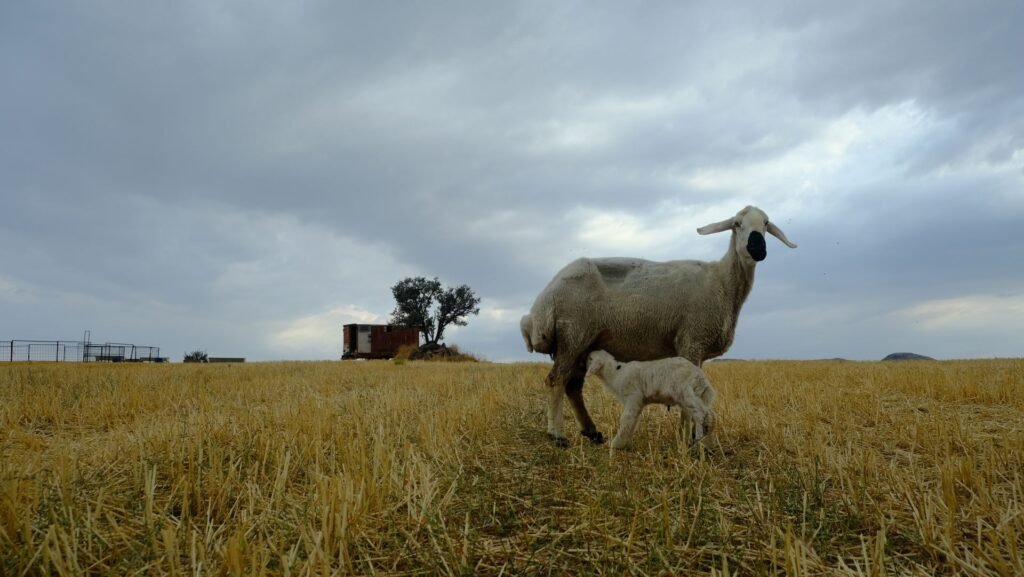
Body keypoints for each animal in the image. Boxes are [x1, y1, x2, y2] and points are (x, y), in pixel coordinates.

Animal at [585, 350, 715, 449]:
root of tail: (701, 377)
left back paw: (699, 441)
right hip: (698, 395)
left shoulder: (632, 396)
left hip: (686, 392)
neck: (616, 373)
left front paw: (615, 444)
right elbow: (632, 421)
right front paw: (625, 442)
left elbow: (626, 418)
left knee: (701, 414)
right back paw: (707, 439)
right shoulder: (638, 402)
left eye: (590, 358)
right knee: (707, 414)